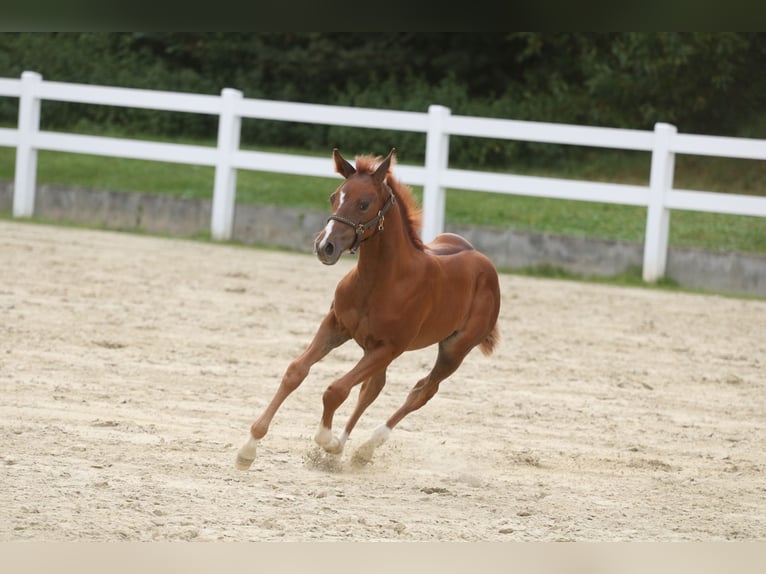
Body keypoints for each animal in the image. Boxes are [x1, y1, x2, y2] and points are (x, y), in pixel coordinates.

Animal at [237, 148, 500, 472]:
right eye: (334, 196)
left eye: (364, 204)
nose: (325, 246)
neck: (380, 281)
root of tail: (485, 263)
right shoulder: (336, 325)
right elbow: (296, 371)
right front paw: (249, 448)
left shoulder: (389, 347)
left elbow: (336, 389)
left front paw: (326, 440)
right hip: (373, 348)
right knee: (373, 387)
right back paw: (345, 445)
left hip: (454, 350)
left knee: (422, 391)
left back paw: (365, 447)